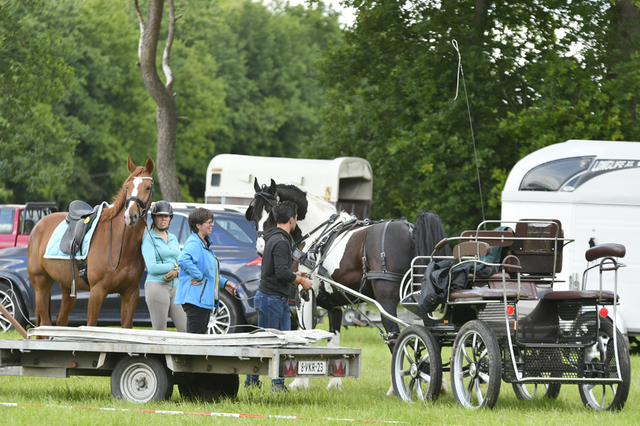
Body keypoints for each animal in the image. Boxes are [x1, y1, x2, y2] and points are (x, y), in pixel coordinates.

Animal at [28, 156, 156, 326]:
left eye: (148, 187)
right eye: (127, 187)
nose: (130, 216)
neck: (119, 246)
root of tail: (38, 225)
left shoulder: (131, 293)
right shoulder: (97, 292)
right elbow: (91, 325)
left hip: (67, 287)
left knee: (61, 319)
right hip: (41, 284)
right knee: (45, 324)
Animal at [245, 179, 450, 390]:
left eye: (271, 212)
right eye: (253, 214)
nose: (261, 248)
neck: (317, 233)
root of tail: (411, 230)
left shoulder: (305, 294)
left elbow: (306, 333)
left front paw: (300, 381)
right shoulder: (333, 304)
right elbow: (333, 339)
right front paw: (334, 383)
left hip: (386, 301)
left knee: (395, 336)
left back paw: (398, 385)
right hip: (419, 301)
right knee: (429, 333)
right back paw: (439, 381)